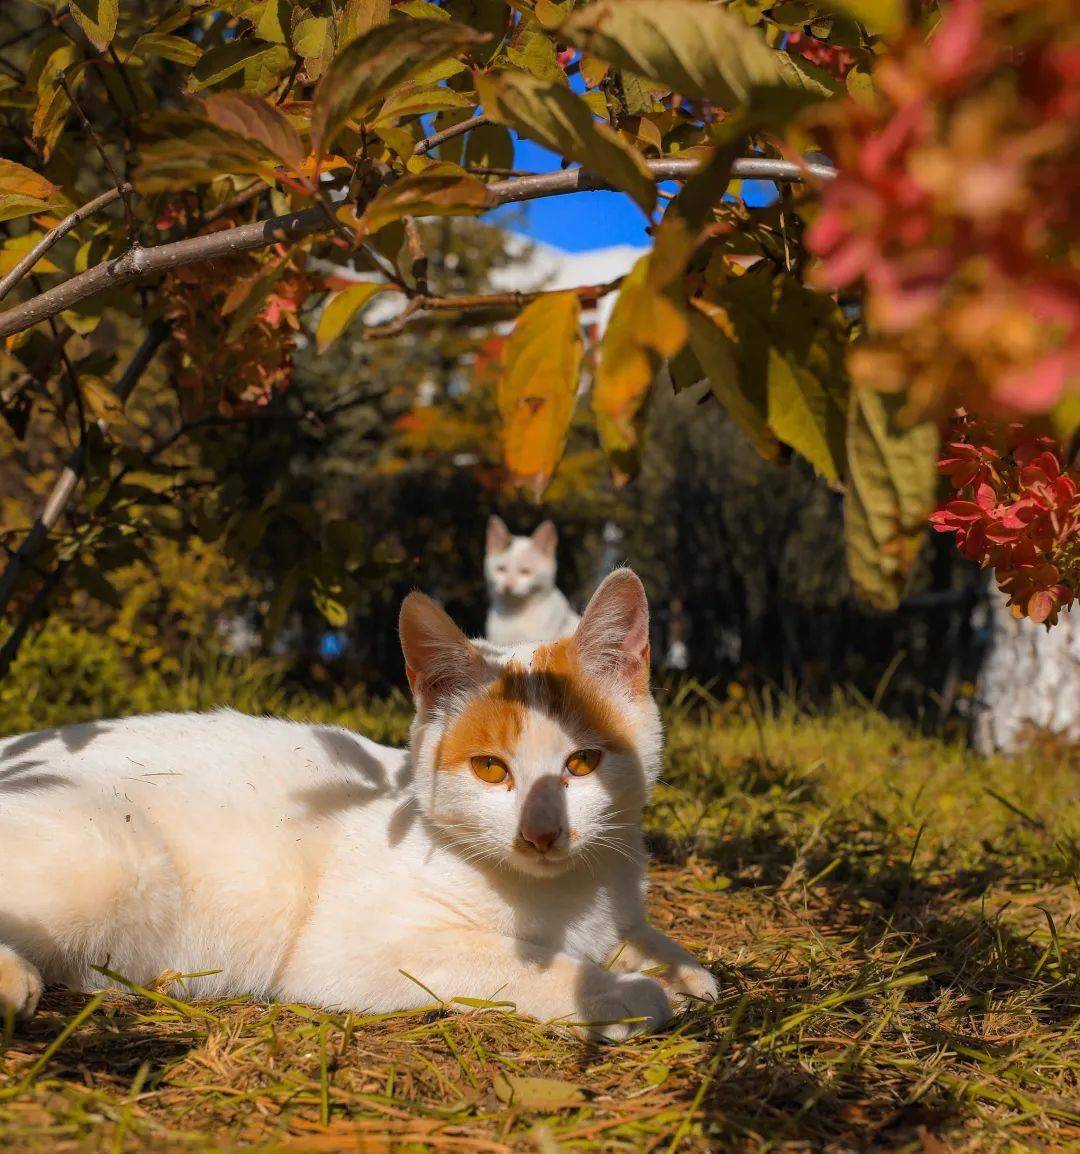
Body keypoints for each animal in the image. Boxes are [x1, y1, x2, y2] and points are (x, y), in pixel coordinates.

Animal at [0, 567, 715, 1038]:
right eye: (490, 768)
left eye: (582, 763)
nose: (541, 834)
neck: (571, 894)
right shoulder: (354, 946)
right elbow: (507, 959)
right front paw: (617, 991)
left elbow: (639, 933)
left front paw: (680, 966)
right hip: (110, 851)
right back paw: (16, 983)